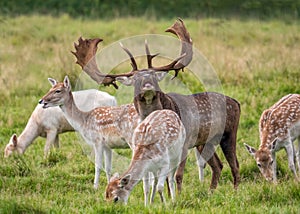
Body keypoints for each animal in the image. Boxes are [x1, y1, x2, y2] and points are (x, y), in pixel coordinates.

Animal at [71, 18, 240, 191]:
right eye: (136, 79)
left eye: (152, 75)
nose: (147, 84)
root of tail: (236, 102)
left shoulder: (184, 143)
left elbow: (178, 175)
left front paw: (179, 194)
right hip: (205, 142)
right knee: (218, 165)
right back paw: (212, 191)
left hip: (229, 133)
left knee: (235, 164)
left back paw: (235, 191)